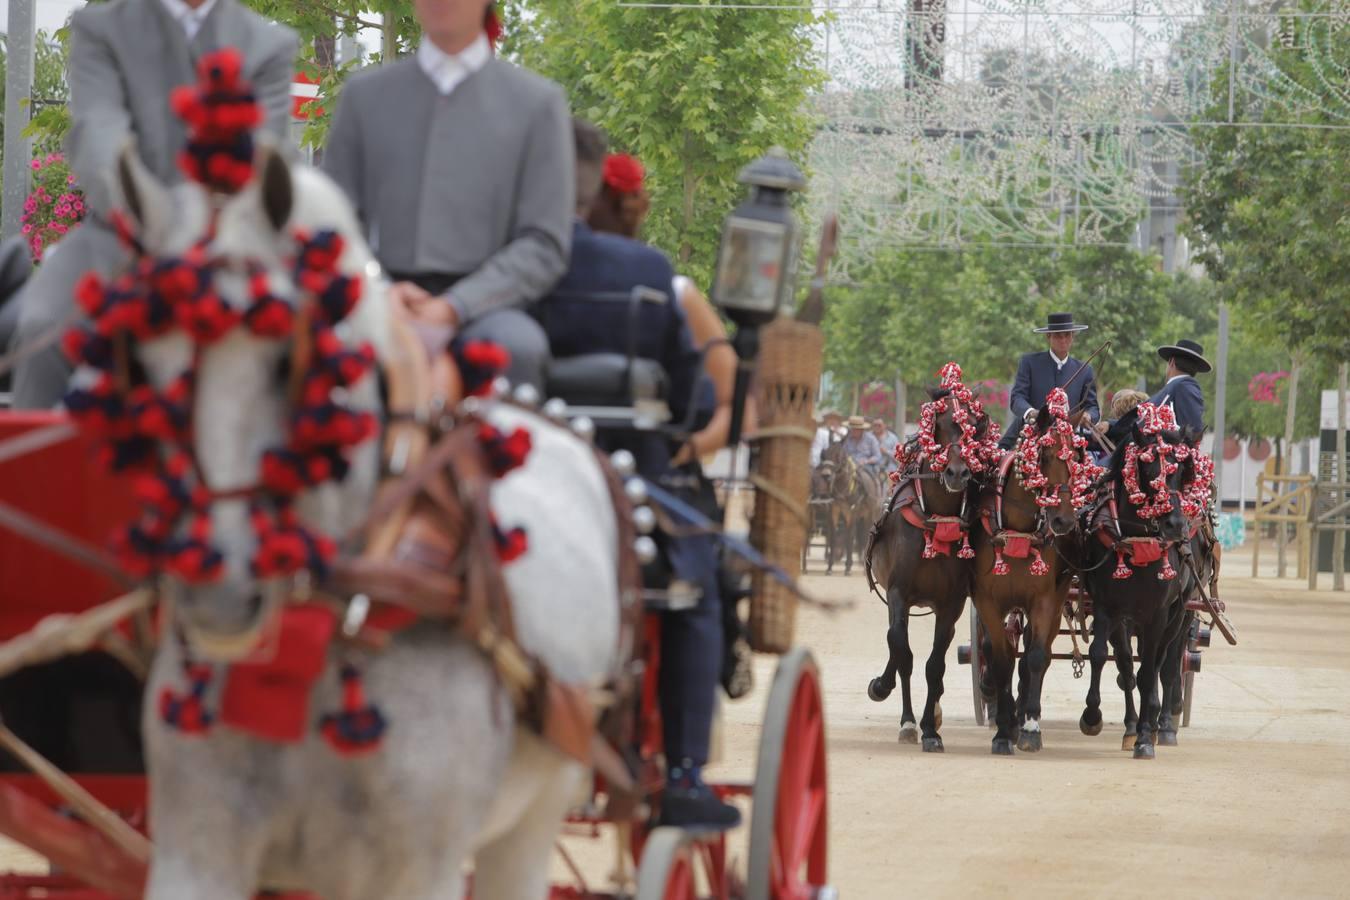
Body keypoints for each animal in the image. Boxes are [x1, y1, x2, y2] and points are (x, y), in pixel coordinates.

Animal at [103, 144, 621, 895]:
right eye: (140, 365)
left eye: (285, 360)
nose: (218, 594)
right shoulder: (197, 851)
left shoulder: (419, 868)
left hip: (538, 809)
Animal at [864, 388, 993, 755]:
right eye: (941, 424)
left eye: (974, 427)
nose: (957, 473)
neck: (936, 519)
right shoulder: (898, 593)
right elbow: (901, 651)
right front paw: (904, 716)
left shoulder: (951, 604)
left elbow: (935, 665)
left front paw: (930, 731)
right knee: (896, 644)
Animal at [972, 407, 1085, 755]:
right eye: (1044, 455)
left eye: (1078, 456)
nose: (1064, 520)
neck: (1018, 530)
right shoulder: (987, 601)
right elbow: (1000, 658)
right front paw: (1003, 729)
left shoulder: (1045, 601)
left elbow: (1034, 659)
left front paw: (1030, 727)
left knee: (1040, 654)